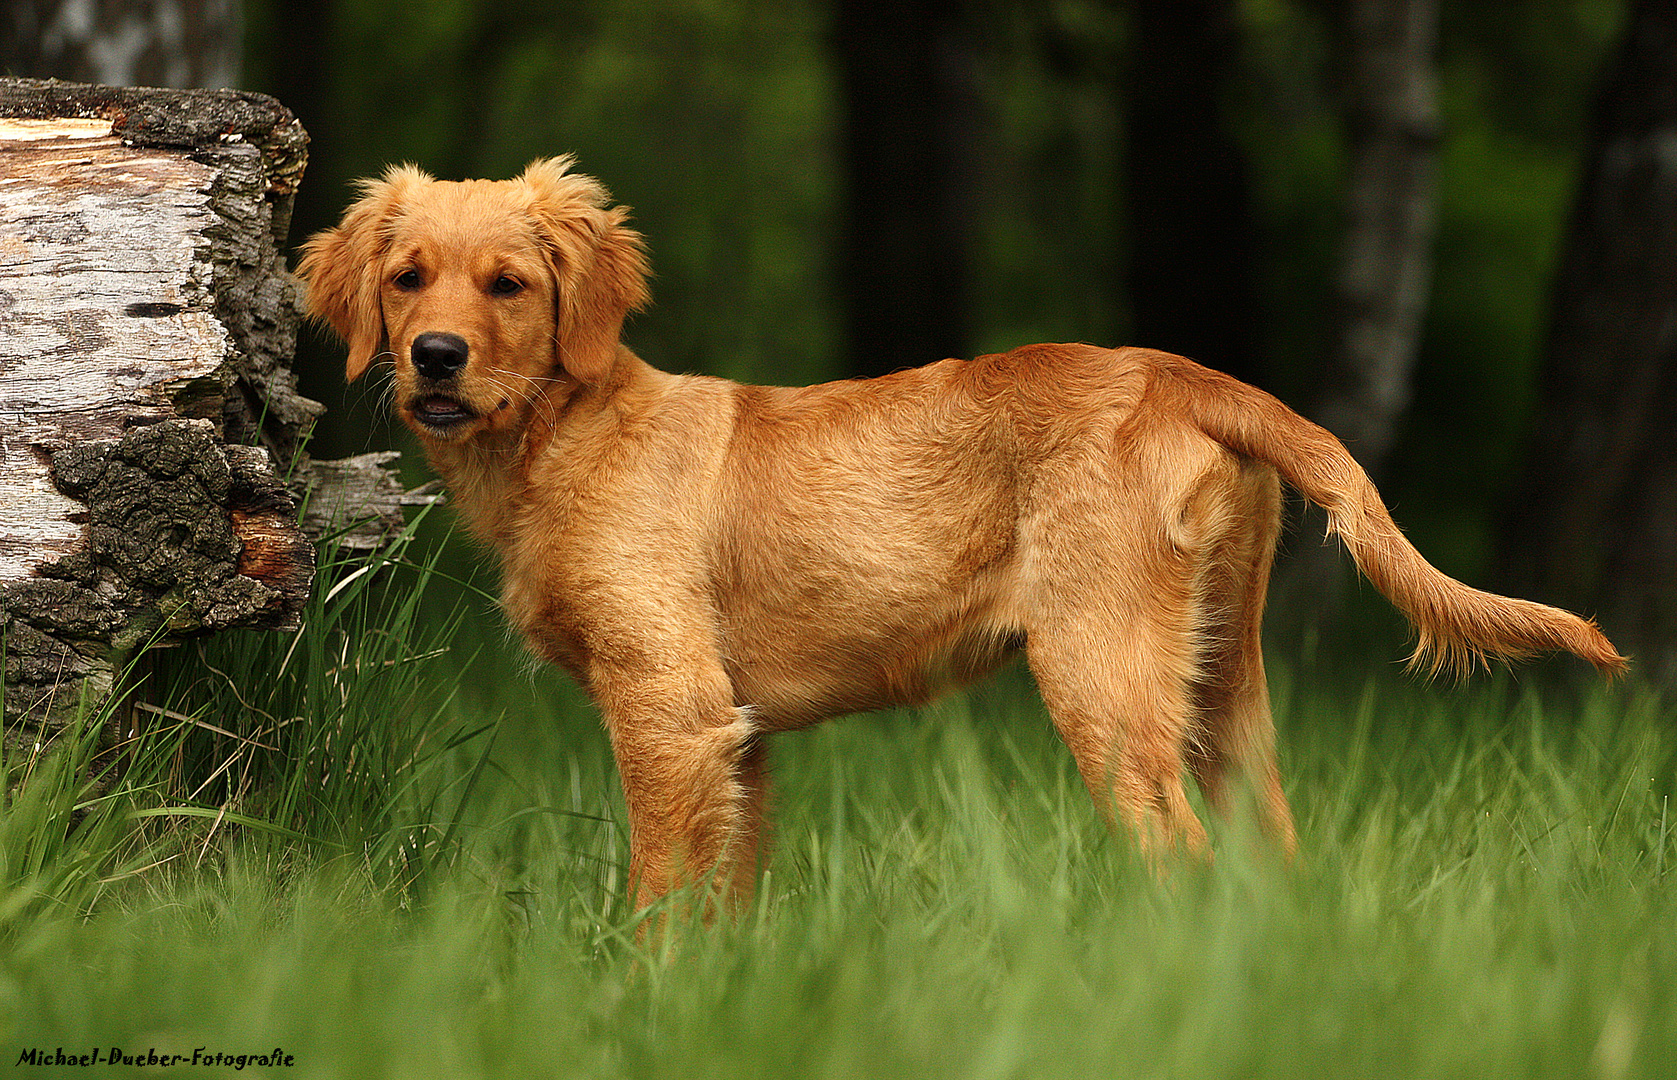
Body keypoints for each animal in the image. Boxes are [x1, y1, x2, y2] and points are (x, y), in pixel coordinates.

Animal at [298, 154, 1623, 912]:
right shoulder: (741, 737)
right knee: (1271, 859)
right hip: (1222, 690)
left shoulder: (670, 708)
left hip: (1102, 678)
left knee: (1184, 861)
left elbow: (657, 896)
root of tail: (1187, 373)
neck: (563, 435)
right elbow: (729, 903)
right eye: (408, 279)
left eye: (509, 285)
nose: (434, 359)